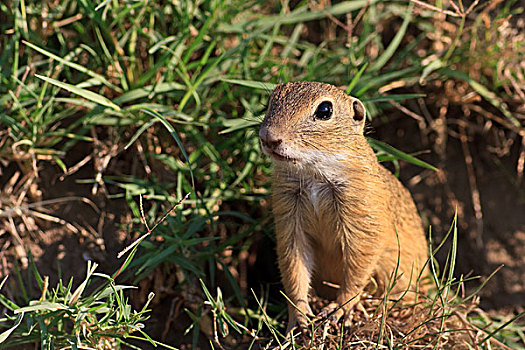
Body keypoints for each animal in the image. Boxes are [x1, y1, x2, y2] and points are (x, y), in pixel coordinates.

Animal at [258, 80, 430, 332]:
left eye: (324, 110)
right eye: (271, 100)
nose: (268, 137)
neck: (315, 173)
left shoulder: (362, 218)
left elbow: (358, 268)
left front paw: (339, 310)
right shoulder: (289, 218)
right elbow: (293, 267)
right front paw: (299, 318)